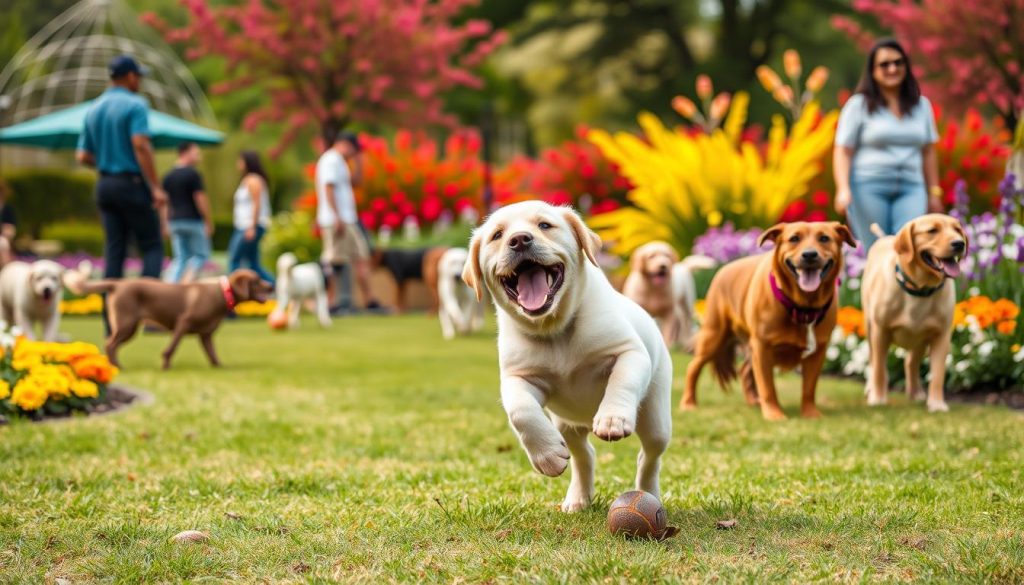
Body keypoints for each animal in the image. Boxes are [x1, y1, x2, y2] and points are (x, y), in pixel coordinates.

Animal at [462, 201, 671, 512]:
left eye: (545, 226)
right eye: (497, 235)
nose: (519, 239)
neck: (554, 329)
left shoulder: (629, 352)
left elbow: (622, 382)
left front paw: (612, 418)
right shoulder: (518, 378)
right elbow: (521, 411)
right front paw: (547, 456)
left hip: (656, 417)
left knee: (649, 457)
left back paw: (649, 493)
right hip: (566, 425)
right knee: (585, 455)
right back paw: (578, 498)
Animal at [684, 222, 860, 418]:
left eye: (824, 238)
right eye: (794, 238)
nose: (809, 254)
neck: (802, 307)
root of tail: (723, 269)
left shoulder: (818, 352)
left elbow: (809, 388)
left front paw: (810, 413)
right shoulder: (762, 348)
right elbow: (767, 387)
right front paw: (774, 414)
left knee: (744, 370)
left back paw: (753, 401)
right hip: (713, 336)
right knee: (693, 367)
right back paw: (688, 403)